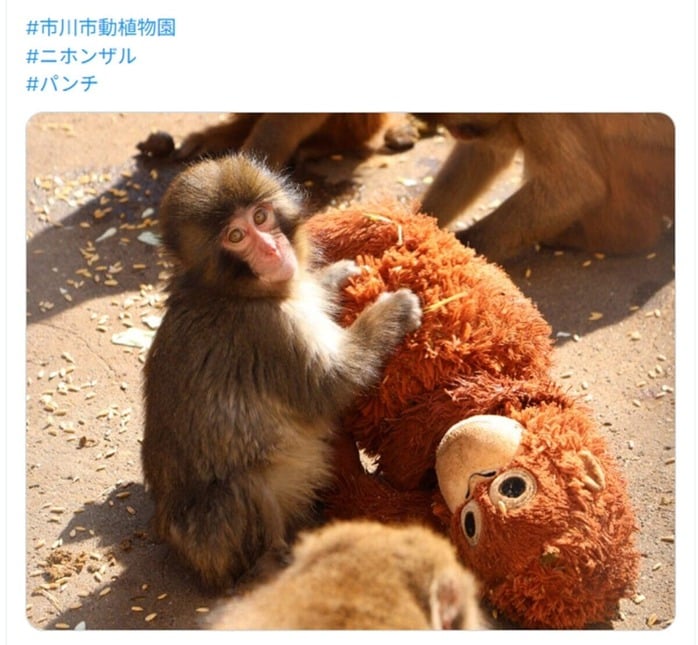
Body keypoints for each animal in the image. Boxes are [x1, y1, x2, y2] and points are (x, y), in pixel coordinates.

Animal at [141, 153, 423, 591]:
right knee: (242, 487)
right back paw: (271, 564)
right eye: (236, 236)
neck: (234, 291)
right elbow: (332, 384)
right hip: (214, 541)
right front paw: (392, 311)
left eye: (261, 216)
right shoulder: (269, 331)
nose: (272, 249)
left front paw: (334, 276)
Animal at [417, 113, 674, 263]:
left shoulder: (540, 116)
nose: (456, 133)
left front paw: (459, 250)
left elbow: (577, 187)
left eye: (459, 127)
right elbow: (486, 153)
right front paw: (420, 219)